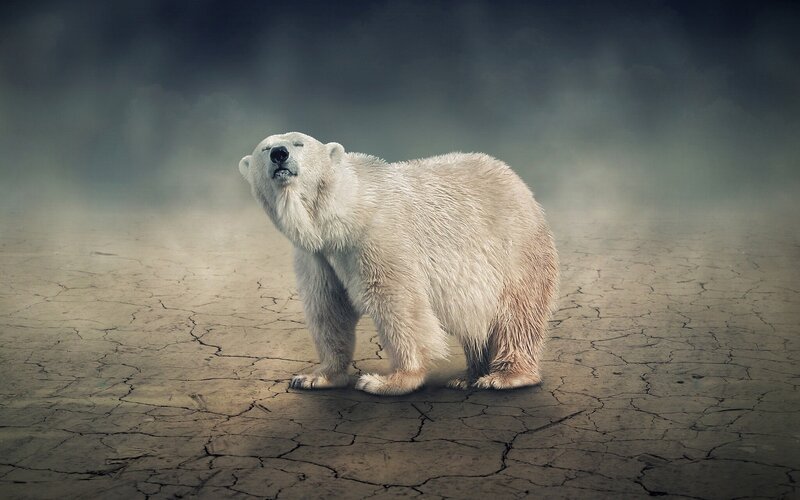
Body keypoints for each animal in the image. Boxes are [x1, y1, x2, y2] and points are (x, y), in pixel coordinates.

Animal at [238, 132, 558, 395]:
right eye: (265, 147)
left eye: (298, 143)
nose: (279, 153)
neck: (343, 214)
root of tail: (519, 184)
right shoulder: (317, 256)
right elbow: (328, 308)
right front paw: (315, 377)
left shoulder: (379, 236)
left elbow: (397, 302)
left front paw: (388, 381)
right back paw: (467, 376)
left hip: (514, 250)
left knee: (515, 314)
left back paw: (504, 377)